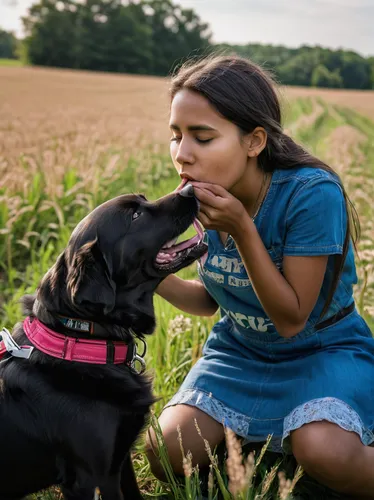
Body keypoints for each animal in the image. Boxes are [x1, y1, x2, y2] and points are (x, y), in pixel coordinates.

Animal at [0, 184, 206, 500]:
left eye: (143, 200)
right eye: (135, 216)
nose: (190, 189)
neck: (80, 339)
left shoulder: (120, 460)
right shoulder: (92, 477)